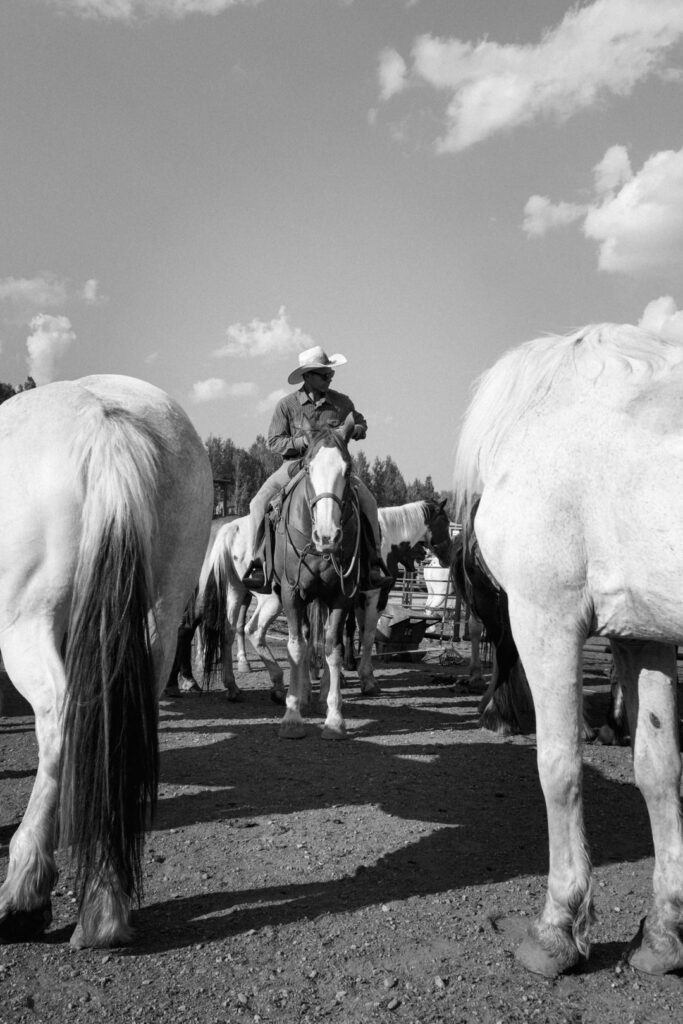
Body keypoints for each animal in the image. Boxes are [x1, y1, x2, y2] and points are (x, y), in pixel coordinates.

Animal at [0, 378, 211, 950]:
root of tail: (103, 418)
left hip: (24, 622)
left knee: (60, 719)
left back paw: (24, 893)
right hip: (159, 617)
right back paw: (105, 907)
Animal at [274, 411, 362, 741]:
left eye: (347, 470)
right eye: (309, 467)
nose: (327, 536)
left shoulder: (340, 595)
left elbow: (332, 648)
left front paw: (335, 718)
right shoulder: (291, 593)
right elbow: (296, 646)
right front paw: (292, 715)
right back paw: (303, 695)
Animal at [454, 323, 683, 978]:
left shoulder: (545, 615)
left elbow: (559, 769)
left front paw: (557, 927)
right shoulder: (643, 632)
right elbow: (658, 770)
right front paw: (664, 934)